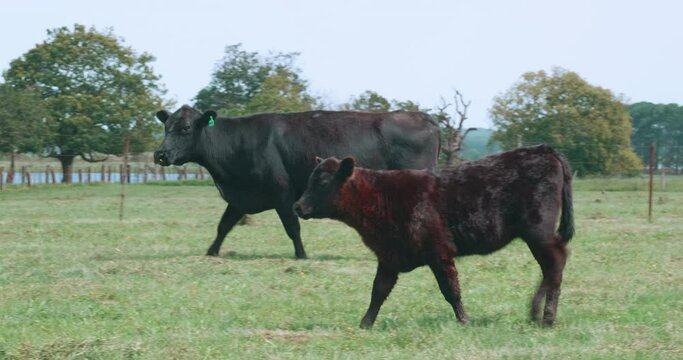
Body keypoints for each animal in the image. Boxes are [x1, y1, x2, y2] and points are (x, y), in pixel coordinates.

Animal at [153, 105, 440, 258]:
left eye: (185, 128)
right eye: (166, 127)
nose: (160, 154)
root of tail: (422, 117)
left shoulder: (283, 194)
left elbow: (292, 228)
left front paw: (301, 255)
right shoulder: (241, 197)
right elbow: (223, 226)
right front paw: (211, 252)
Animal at [296, 145, 576, 328]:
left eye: (322, 181)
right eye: (309, 178)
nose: (297, 206)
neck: (380, 196)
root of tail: (544, 150)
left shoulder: (439, 252)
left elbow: (451, 290)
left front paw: (464, 320)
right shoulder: (388, 257)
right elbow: (378, 291)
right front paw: (365, 323)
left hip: (538, 233)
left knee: (556, 263)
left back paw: (544, 316)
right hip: (537, 236)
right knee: (552, 267)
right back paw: (540, 315)